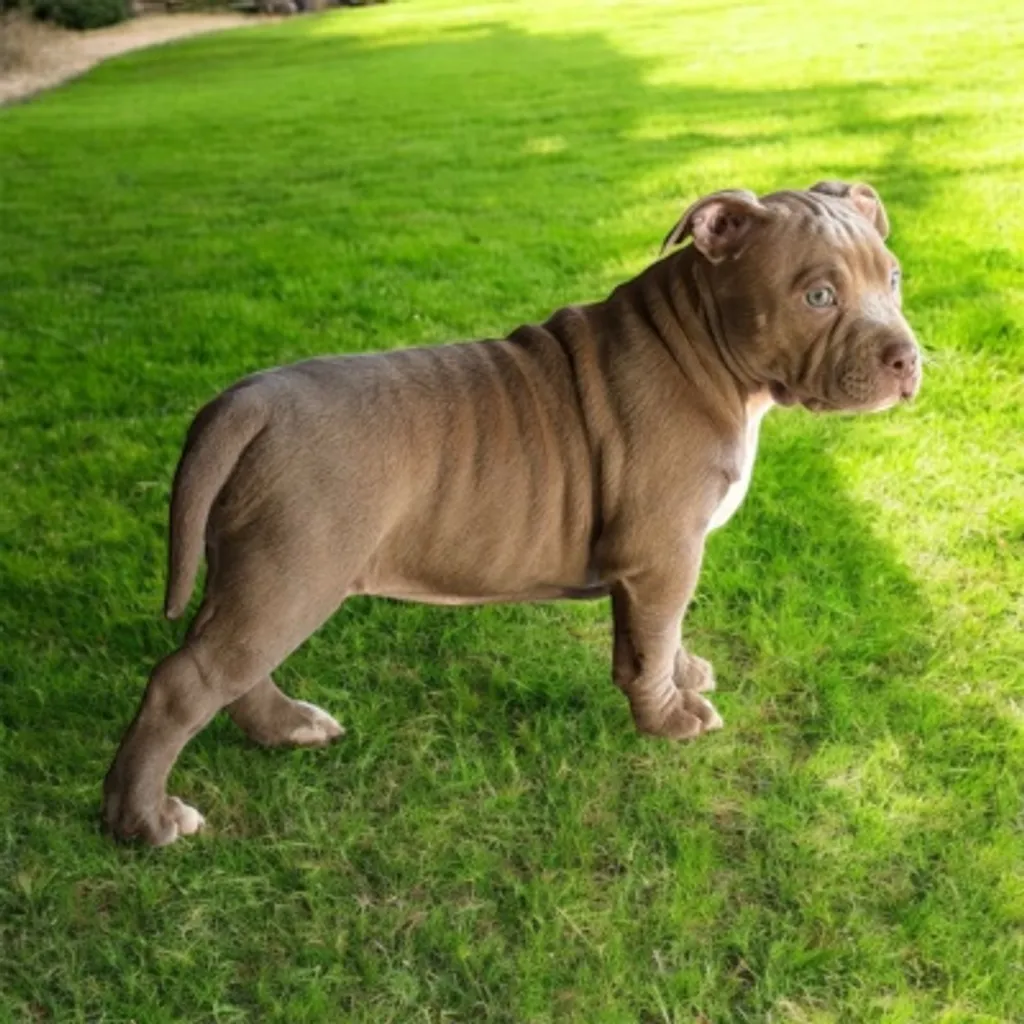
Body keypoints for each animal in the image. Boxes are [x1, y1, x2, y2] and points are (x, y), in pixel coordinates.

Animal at [102, 181, 921, 845]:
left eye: (894, 278)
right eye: (818, 297)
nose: (908, 359)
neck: (702, 341)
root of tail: (247, 402)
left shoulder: (659, 563)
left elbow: (657, 636)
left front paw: (683, 674)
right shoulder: (664, 553)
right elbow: (653, 640)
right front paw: (668, 720)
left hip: (258, 572)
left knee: (232, 667)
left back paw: (287, 729)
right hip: (291, 572)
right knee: (186, 681)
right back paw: (144, 821)